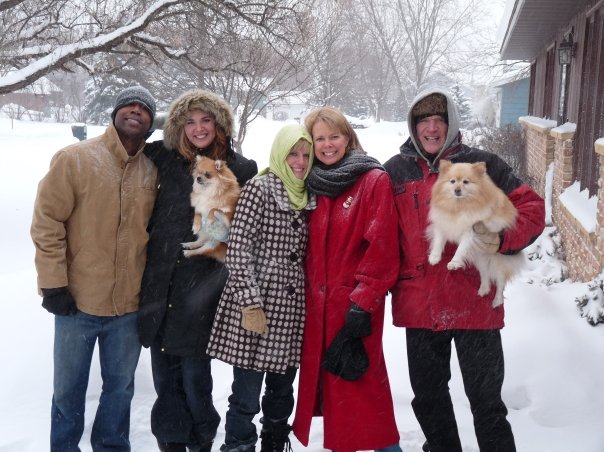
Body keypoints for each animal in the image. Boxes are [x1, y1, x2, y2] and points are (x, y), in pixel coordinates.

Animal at [424, 159, 524, 308]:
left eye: (466, 182)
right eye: (452, 181)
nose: (457, 190)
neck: (459, 206)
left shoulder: (471, 232)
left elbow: (460, 249)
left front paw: (454, 262)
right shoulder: (443, 223)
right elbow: (438, 242)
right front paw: (434, 257)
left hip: (497, 259)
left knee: (500, 281)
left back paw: (497, 300)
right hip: (480, 258)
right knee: (485, 274)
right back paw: (484, 289)